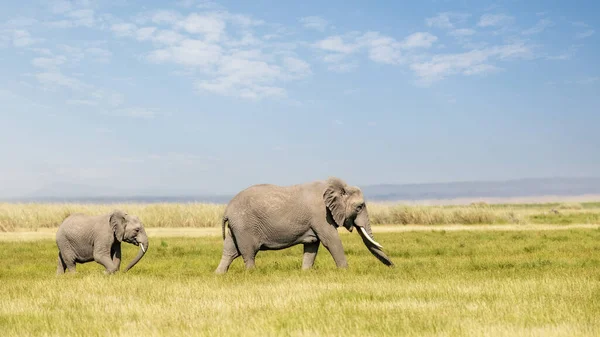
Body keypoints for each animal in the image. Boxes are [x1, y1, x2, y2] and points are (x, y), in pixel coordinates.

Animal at [216, 176, 394, 272]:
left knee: (230, 252)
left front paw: (305, 272)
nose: (394, 267)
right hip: (244, 226)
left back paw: (219, 275)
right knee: (248, 253)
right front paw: (345, 271)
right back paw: (252, 273)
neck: (335, 187)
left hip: (236, 227)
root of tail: (227, 210)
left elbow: (312, 245)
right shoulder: (321, 215)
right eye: (359, 207)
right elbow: (331, 241)